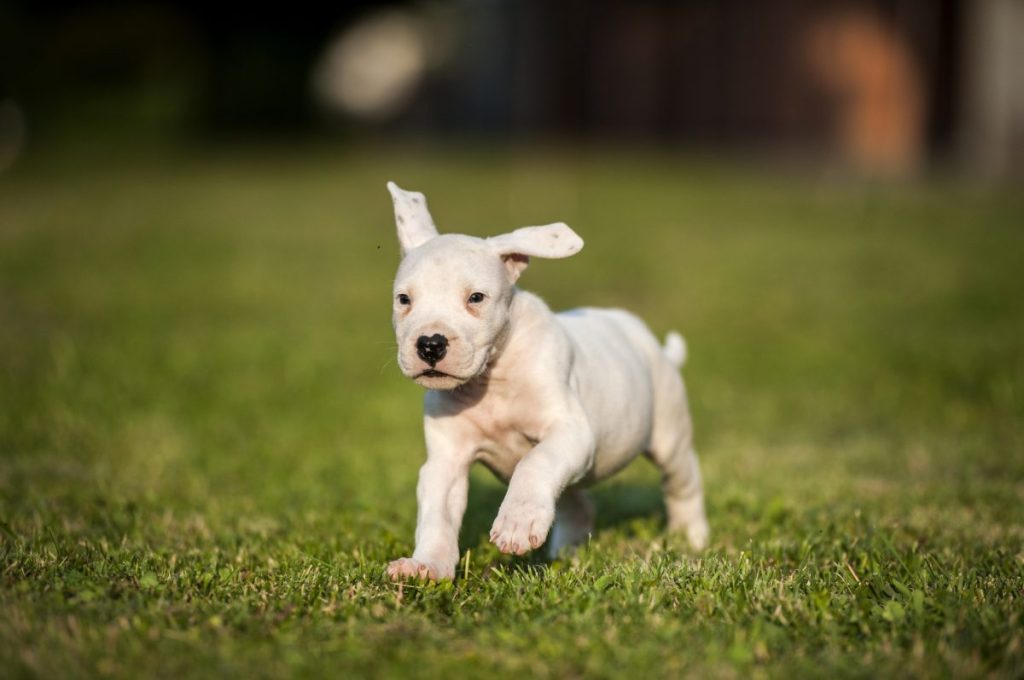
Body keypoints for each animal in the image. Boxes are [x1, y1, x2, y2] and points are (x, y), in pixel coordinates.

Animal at [380, 183, 708, 581]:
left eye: (476, 297)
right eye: (404, 299)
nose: (429, 344)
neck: (492, 379)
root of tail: (655, 345)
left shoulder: (571, 431)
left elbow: (534, 462)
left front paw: (516, 523)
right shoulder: (446, 461)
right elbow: (437, 517)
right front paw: (426, 566)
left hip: (668, 434)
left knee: (682, 482)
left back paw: (691, 537)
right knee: (576, 502)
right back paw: (567, 552)